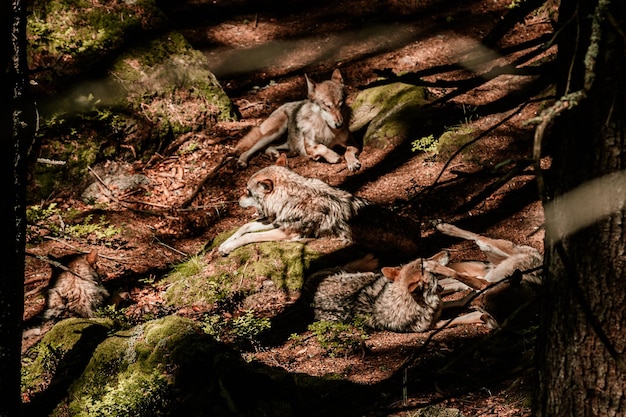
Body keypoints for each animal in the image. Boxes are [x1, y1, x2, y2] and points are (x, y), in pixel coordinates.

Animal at [217, 154, 422, 262]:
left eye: (247, 191)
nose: (237, 201)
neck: (290, 196)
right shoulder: (277, 222)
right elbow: (245, 227)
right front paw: (224, 243)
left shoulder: (286, 233)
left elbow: (250, 236)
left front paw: (229, 247)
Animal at [230, 68, 358, 171]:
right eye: (327, 106)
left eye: (341, 105)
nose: (340, 125)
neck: (326, 128)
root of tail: (281, 106)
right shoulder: (308, 146)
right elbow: (322, 147)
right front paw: (333, 156)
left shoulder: (351, 141)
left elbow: (349, 150)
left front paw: (352, 162)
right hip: (277, 131)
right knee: (252, 148)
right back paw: (242, 161)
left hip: (286, 142)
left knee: (269, 147)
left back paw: (274, 154)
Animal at [302, 250, 468, 332]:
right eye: (427, 261)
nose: (447, 252)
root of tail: (307, 287)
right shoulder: (436, 325)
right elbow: (460, 317)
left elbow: (457, 300)